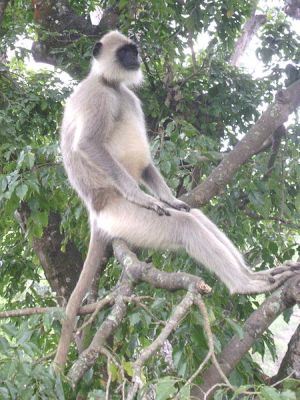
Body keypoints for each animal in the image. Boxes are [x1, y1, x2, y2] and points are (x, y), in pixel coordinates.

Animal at [55, 29, 298, 368]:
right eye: (124, 53)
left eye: (134, 51)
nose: (135, 59)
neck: (110, 84)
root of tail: (95, 212)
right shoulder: (96, 97)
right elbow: (88, 144)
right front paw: (140, 195)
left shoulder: (128, 99)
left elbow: (147, 165)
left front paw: (168, 196)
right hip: (122, 215)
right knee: (186, 226)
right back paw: (245, 284)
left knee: (193, 216)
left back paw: (255, 275)